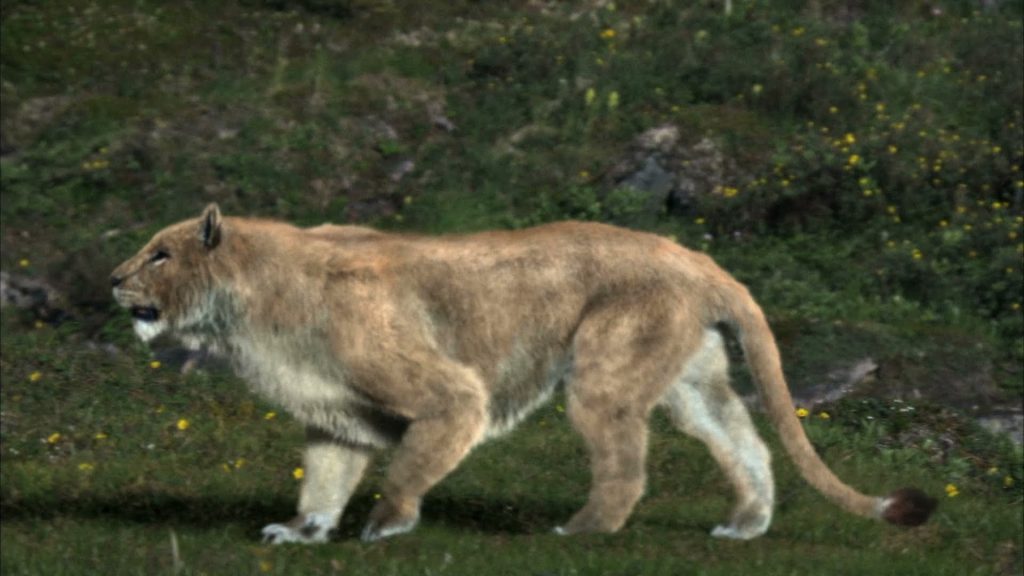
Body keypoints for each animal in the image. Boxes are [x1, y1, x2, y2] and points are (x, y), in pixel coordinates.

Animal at [110, 204, 935, 544]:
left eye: (160, 253)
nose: (113, 280)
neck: (248, 310)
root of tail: (695, 256)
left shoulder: (451, 394)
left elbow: (409, 463)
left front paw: (386, 526)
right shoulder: (334, 418)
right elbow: (324, 479)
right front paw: (304, 532)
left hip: (602, 372)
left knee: (626, 467)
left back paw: (580, 532)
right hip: (691, 382)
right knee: (746, 442)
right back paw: (744, 525)